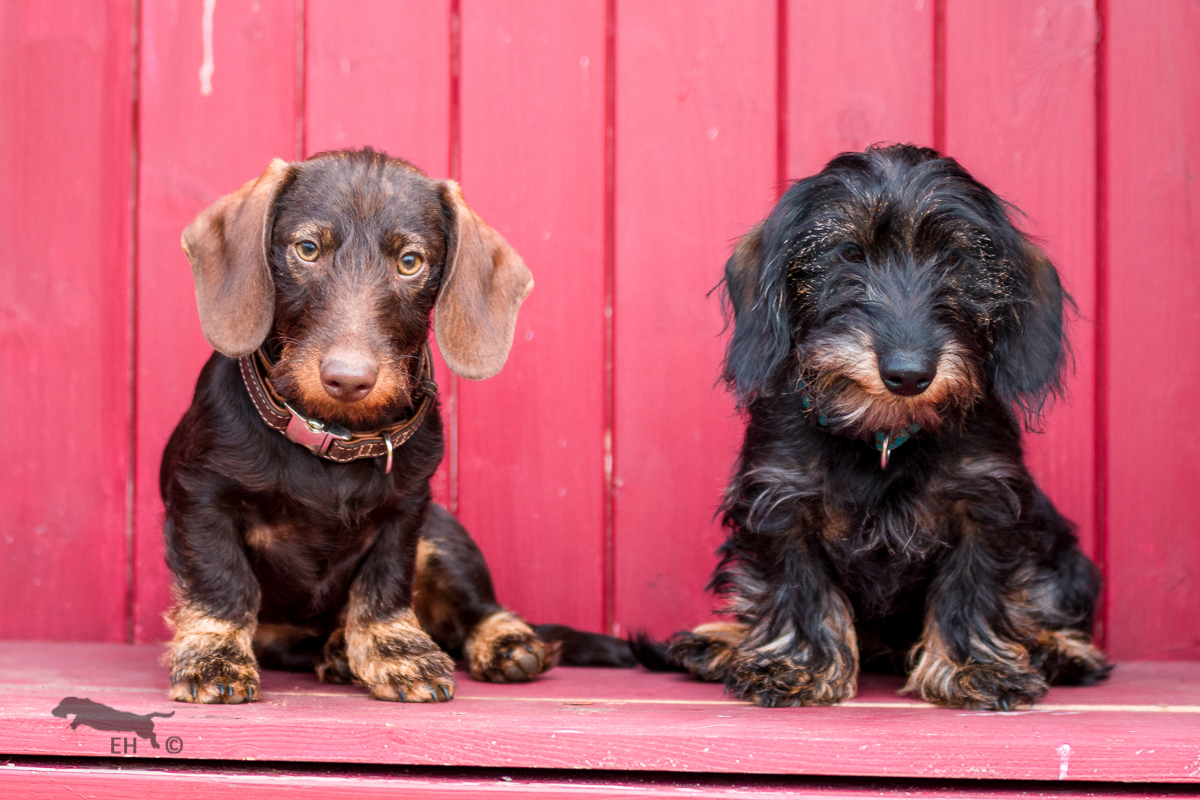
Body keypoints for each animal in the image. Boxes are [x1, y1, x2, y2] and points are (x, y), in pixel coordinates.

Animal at [163, 148, 632, 704]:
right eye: (307, 249)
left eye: (410, 262)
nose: (348, 378)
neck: (335, 435)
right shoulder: (203, 499)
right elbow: (222, 583)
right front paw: (213, 658)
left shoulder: (407, 513)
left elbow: (384, 586)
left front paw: (397, 652)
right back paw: (336, 651)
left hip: (443, 535)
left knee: (480, 611)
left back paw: (506, 643)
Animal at [633, 144, 1110, 710]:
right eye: (848, 253)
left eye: (955, 259)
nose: (908, 374)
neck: (882, 434)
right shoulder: (781, 500)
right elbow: (798, 587)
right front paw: (795, 666)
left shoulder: (986, 499)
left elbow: (972, 586)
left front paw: (975, 667)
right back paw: (720, 643)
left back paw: (1059, 649)